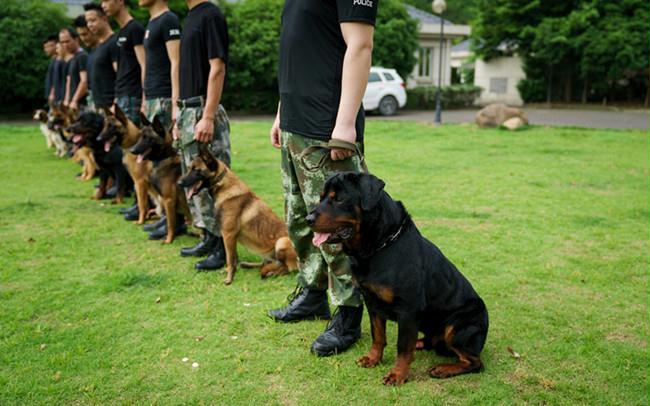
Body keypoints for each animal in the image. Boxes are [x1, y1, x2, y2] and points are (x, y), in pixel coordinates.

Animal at [128, 112, 190, 243]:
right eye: (140, 137)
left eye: (148, 138)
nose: (132, 150)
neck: (163, 160)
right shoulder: (165, 201)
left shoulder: (168, 200)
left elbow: (170, 223)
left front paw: (169, 240)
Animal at [178, 147, 298, 286]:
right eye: (189, 168)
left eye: (196, 170)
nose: (179, 183)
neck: (223, 186)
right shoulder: (230, 236)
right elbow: (233, 258)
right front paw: (228, 272)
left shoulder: (228, 234)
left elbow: (230, 259)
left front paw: (229, 279)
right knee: (268, 263)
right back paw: (249, 265)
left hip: (282, 241)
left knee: (288, 268)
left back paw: (272, 272)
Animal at [308, 172, 486, 386]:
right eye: (321, 198)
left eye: (339, 199)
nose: (308, 219)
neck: (378, 246)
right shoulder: (372, 302)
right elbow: (378, 335)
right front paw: (373, 358)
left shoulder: (408, 309)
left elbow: (402, 346)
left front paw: (398, 374)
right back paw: (421, 343)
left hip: (459, 326)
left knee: (475, 362)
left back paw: (444, 369)